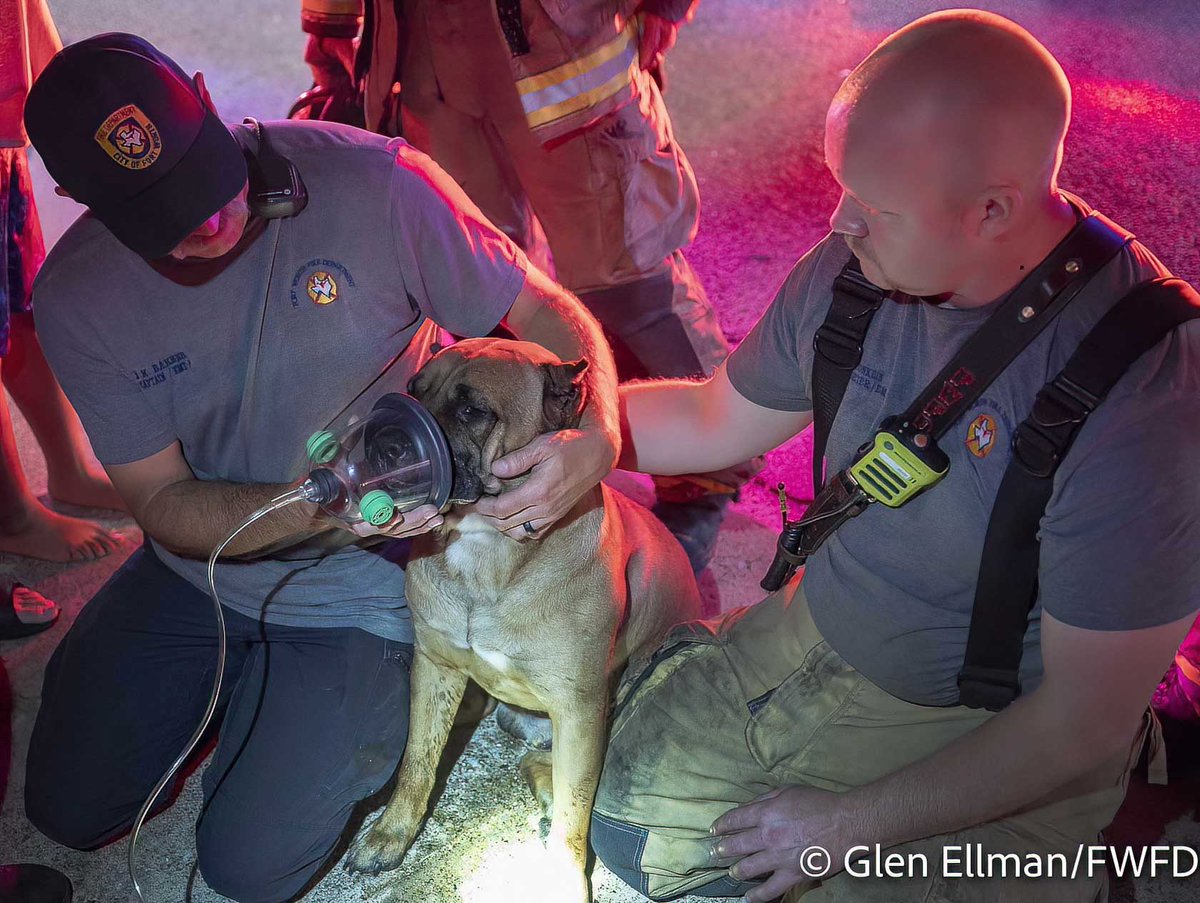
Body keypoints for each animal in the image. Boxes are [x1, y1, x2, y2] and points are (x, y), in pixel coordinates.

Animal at [345, 338, 700, 903]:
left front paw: (563, 876)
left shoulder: (579, 711)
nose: (383, 440)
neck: (484, 549)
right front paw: (391, 834)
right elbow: (417, 764)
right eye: (414, 389)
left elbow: (577, 810)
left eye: (473, 410)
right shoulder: (434, 668)